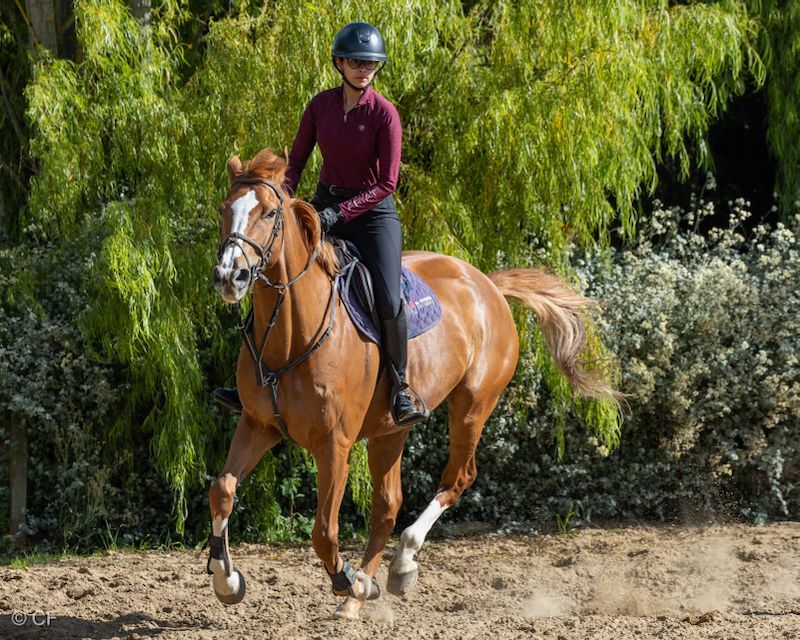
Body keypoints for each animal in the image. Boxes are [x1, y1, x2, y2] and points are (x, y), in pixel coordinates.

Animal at [207, 148, 617, 619]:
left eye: (270, 213)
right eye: (225, 208)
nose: (229, 276)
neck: (292, 335)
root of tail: (488, 286)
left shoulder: (335, 444)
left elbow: (324, 532)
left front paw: (346, 579)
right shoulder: (258, 426)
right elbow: (222, 490)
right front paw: (226, 579)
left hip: (472, 408)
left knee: (457, 478)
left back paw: (397, 566)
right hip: (391, 429)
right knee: (387, 506)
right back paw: (361, 594)